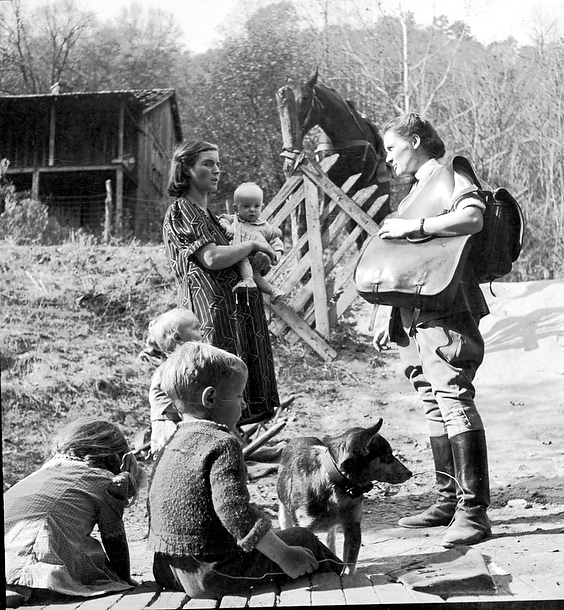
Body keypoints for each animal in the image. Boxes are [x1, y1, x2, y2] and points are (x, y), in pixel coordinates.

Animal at [276, 418, 412, 568]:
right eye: (388, 455)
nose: (410, 473)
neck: (338, 486)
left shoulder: (352, 528)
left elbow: (349, 567)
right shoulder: (305, 527)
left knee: (330, 538)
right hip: (284, 515)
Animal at [286, 68, 392, 240]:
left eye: (305, 98)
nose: (294, 131)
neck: (342, 135)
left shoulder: (360, 182)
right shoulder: (328, 180)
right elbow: (325, 218)